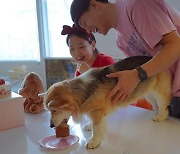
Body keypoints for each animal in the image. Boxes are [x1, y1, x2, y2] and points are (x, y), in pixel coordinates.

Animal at [43, 56, 172, 149]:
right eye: (49, 111)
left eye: (54, 110)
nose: (51, 126)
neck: (81, 90)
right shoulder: (96, 112)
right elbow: (94, 123)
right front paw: (89, 126)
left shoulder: (97, 112)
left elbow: (97, 128)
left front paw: (94, 141)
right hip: (149, 94)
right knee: (155, 105)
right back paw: (156, 114)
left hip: (159, 93)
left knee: (163, 106)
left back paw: (160, 116)